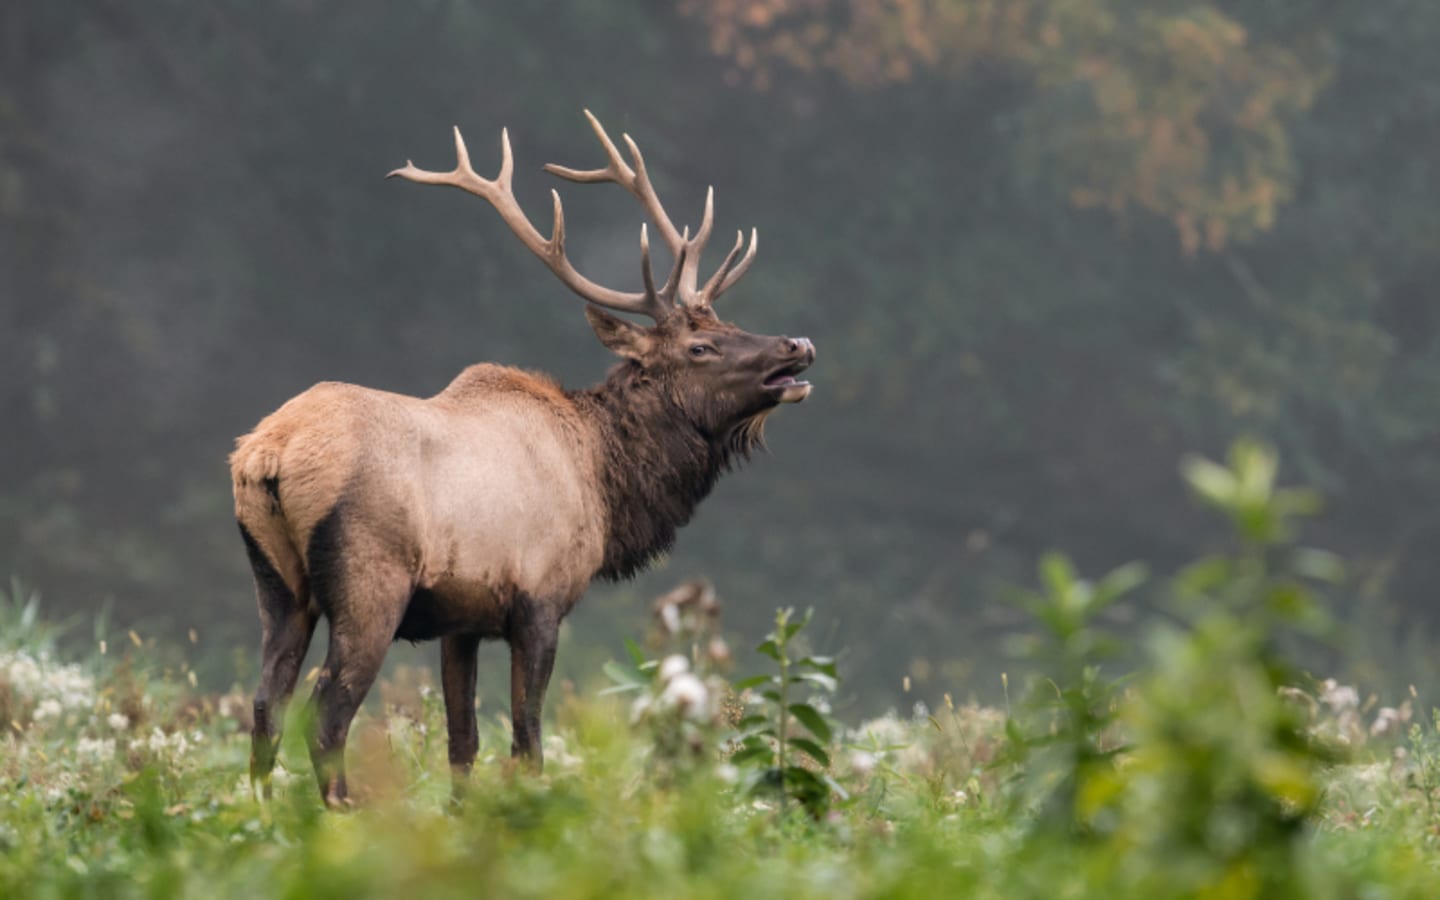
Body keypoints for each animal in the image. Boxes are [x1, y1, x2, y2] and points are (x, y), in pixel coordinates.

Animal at [229, 111, 815, 807]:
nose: (797, 343)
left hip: (278, 584)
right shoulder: (539, 599)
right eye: (700, 346)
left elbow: (462, 744)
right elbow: (527, 742)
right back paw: (344, 814)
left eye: (728, 322)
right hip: (369, 580)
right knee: (325, 715)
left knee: (265, 706)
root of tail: (267, 453)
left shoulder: (460, 619)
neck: (605, 482)